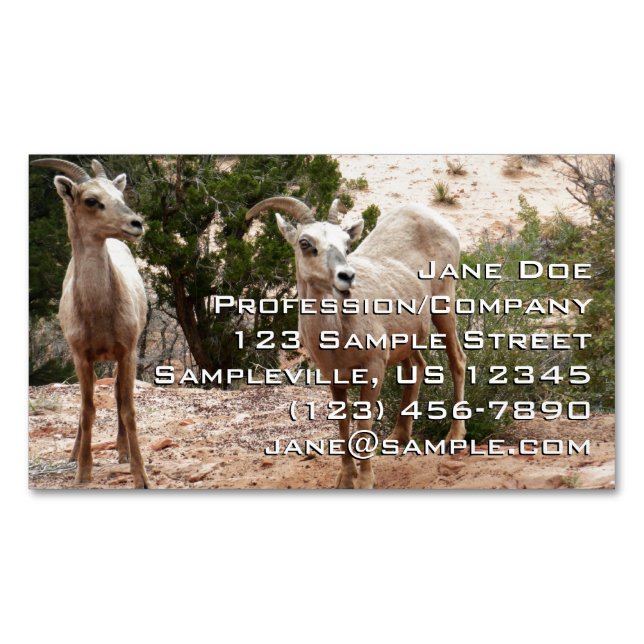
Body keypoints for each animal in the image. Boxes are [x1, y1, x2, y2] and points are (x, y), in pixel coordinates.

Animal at [31, 158, 150, 488]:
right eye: (91, 200)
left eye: (119, 195)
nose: (136, 224)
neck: (99, 313)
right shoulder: (80, 355)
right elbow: (87, 410)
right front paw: (83, 471)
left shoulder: (127, 351)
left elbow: (128, 408)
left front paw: (140, 475)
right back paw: (74, 454)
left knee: (119, 395)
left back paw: (122, 451)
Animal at [246, 196, 467, 488]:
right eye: (305, 243)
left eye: (346, 244)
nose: (347, 277)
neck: (338, 334)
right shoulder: (334, 378)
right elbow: (343, 424)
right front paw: (345, 478)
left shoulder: (373, 370)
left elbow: (363, 424)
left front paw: (364, 481)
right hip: (408, 337)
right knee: (416, 367)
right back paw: (398, 439)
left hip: (444, 306)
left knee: (457, 361)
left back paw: (454, 438)